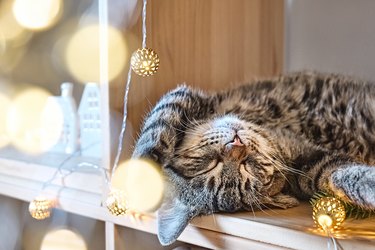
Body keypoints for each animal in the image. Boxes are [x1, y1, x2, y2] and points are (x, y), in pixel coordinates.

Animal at [132, 71, 375, 245]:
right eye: (212, 166)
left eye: (246, 166)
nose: (237, 145)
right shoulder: (317, 168)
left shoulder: (193, 97)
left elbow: (158, 126)